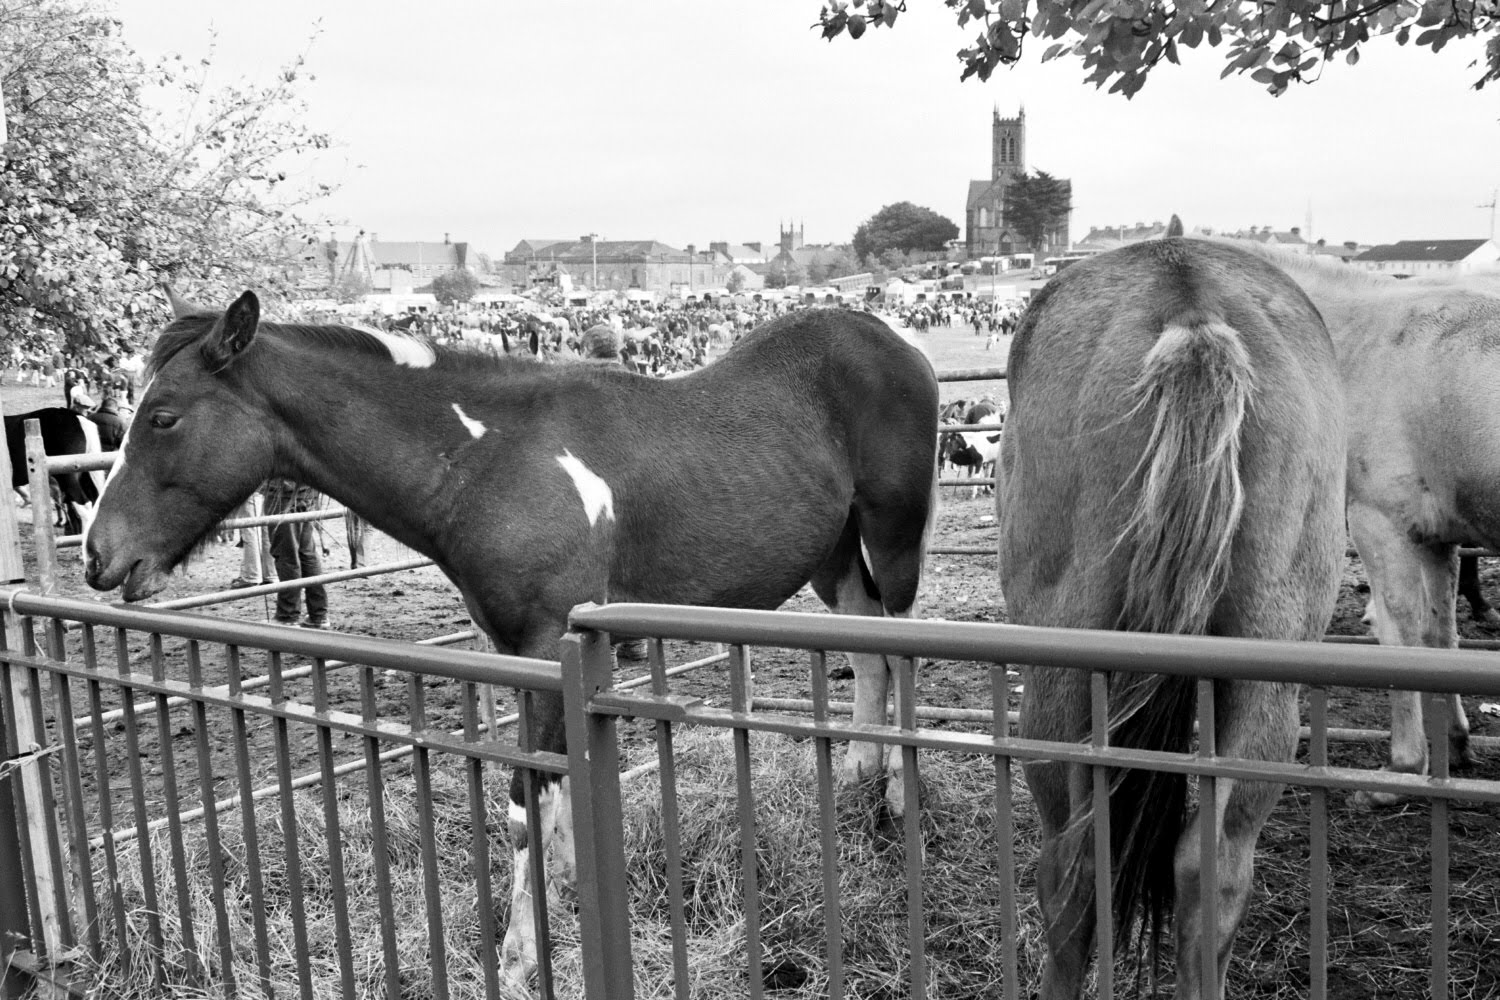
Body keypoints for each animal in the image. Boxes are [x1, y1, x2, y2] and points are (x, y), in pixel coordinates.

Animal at [82, 290, 941, 987]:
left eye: (163, 416)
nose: (98, 555)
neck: (489, 457)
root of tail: (883, 335)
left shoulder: (548, 638)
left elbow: (529, 802)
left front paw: (522, 954)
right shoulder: (520, 652)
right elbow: (550, 792)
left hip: (894, 535)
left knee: (898, 641)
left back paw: (901, 798)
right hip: (832, 553)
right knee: (863, 640)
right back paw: (859, 777)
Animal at [1227, 240, 1500, 801]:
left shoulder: (1380, 522)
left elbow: (1400, 630)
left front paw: (1402, 768)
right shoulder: (1436, 537)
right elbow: (1441, 633)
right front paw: (1453, 742)